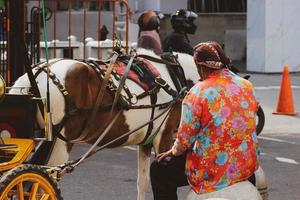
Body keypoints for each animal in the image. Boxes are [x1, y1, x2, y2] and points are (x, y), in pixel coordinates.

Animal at [8, 48, 199, 200]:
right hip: (58, 145)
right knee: (42, 185)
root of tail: (36, 76)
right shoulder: (163, 136)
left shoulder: (147, 140)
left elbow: (142, 183)